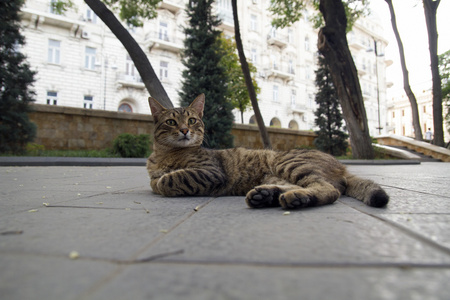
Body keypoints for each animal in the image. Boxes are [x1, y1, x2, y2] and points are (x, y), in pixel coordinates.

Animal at [146, 94, 388, 209]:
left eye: (192, 120)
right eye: (171, 122)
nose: (185, 130)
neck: (164, 155)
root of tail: (341, 165)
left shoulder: (211, 172)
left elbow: (167, 180)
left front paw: (163, 181)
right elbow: (155, 181)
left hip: (288, 163)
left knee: (329, 190)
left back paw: (293, 199)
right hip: (275, 175)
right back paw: (268, 196)